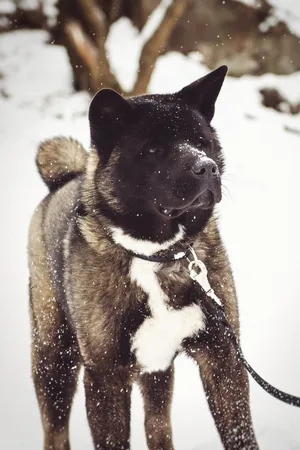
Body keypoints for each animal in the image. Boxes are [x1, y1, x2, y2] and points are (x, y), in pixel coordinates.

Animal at [28, 65, 258, 448]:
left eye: (203, 142)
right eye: (152, 149)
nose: (206, 167)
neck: (155, 255)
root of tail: (63, 179)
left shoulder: (223, 358)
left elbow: (241, 435)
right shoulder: (105, 378)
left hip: (156, 371)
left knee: (157, 425)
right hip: (54, 359)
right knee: (55, 432)